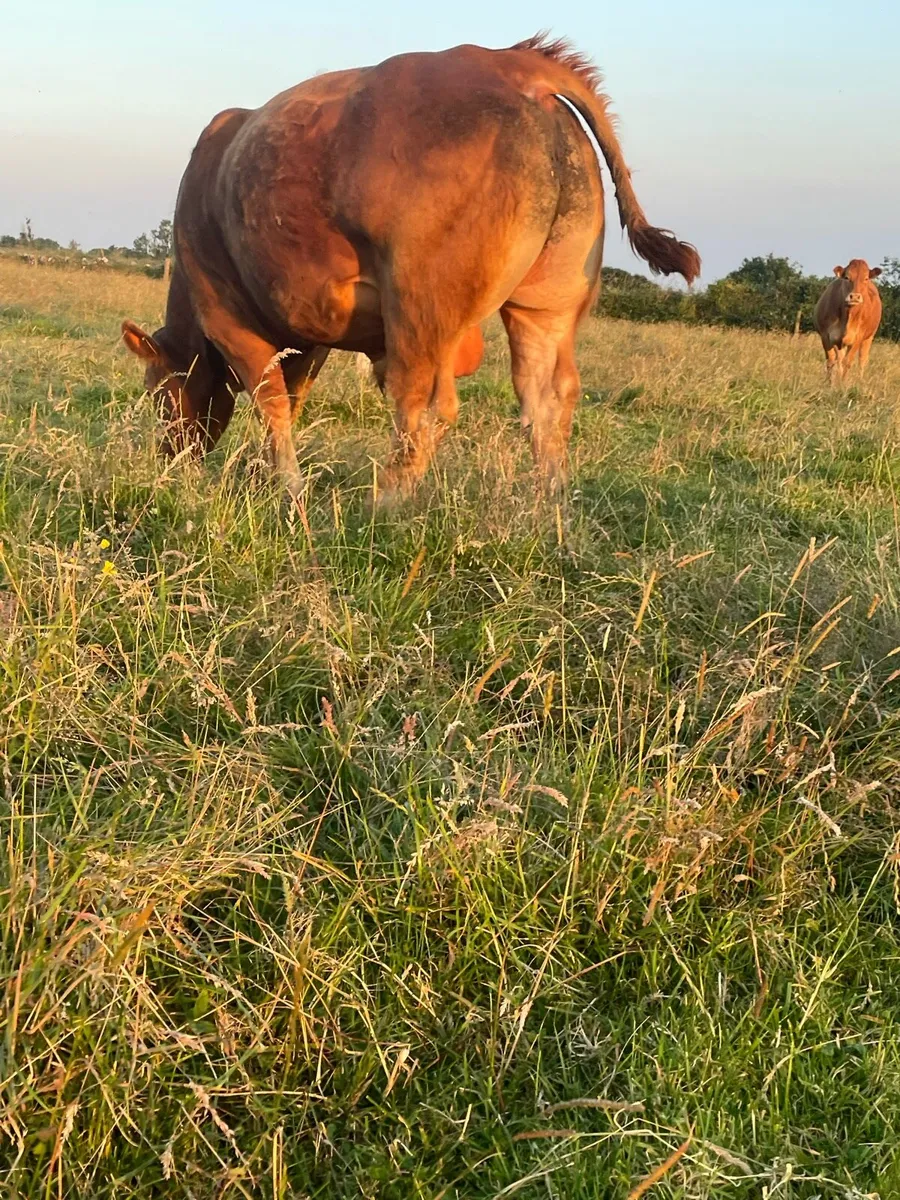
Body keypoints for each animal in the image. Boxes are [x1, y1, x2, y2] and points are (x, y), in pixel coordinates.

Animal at [121, 36, 699, 501]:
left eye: (157, 392)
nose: (168, 460)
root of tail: (506, 61)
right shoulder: (310, 335)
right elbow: (294, 396)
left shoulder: (226, 314)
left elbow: (273, 404)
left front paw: (287, 488)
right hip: (546, 301)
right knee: (548, 400)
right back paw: (547, 508)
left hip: (421, 301)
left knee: (423, 404)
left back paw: (385, 506)